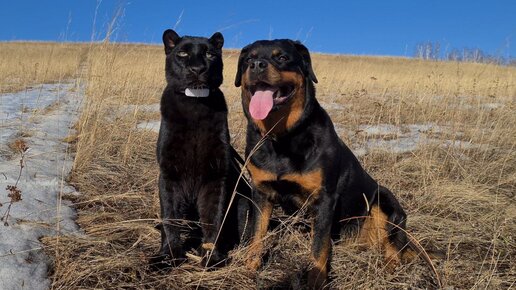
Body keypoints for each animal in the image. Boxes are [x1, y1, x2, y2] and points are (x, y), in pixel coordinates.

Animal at [150, 29, 251, 270]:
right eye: (183, 53)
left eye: (210, 54)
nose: (197, 68)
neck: (195, 105)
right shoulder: (169, 174)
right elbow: (170, 217)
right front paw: (168, 255)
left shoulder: (215, 174)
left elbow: (213, 217)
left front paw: (211, 257)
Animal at [237, 40, 412, 288]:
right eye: (248, 59)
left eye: (282, 57)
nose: (257, 65)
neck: (282, 138)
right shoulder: (261, 193)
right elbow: (256, 235)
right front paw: (250, 267)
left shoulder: (324, 199)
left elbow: (318, 247)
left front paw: (316, 281)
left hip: (385, 200)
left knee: (393, 245)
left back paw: (389, 267)